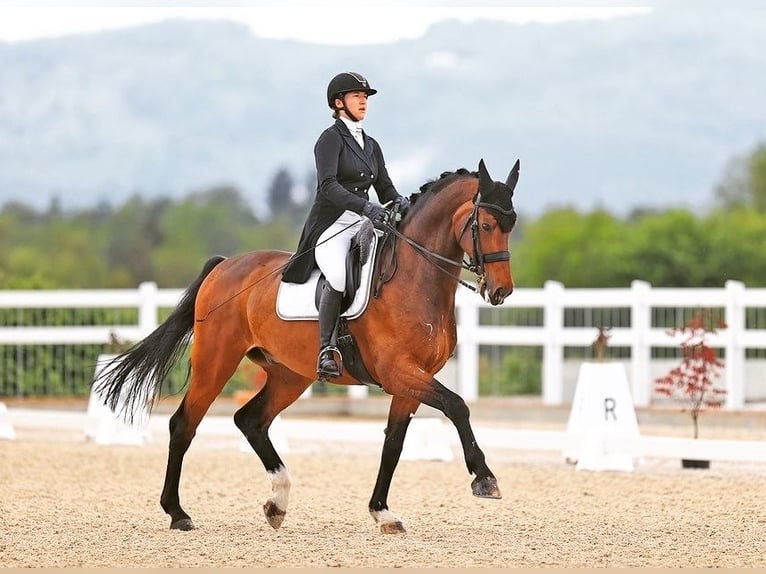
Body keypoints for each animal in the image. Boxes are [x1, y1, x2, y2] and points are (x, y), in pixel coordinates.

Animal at [91, 156, 520, 536]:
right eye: (485, 224)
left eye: (511, 224)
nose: (501, 291)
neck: (414, 279)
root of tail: (224, 266)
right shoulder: (399, 371)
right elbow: (457, 406)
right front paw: (484, 479)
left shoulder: (411, 380)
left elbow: (393, 444)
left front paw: (382, 513)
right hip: (217, 362)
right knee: (185, 424)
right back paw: (178, 513)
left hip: (289, 374)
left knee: (250, 420)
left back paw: (277, 503)